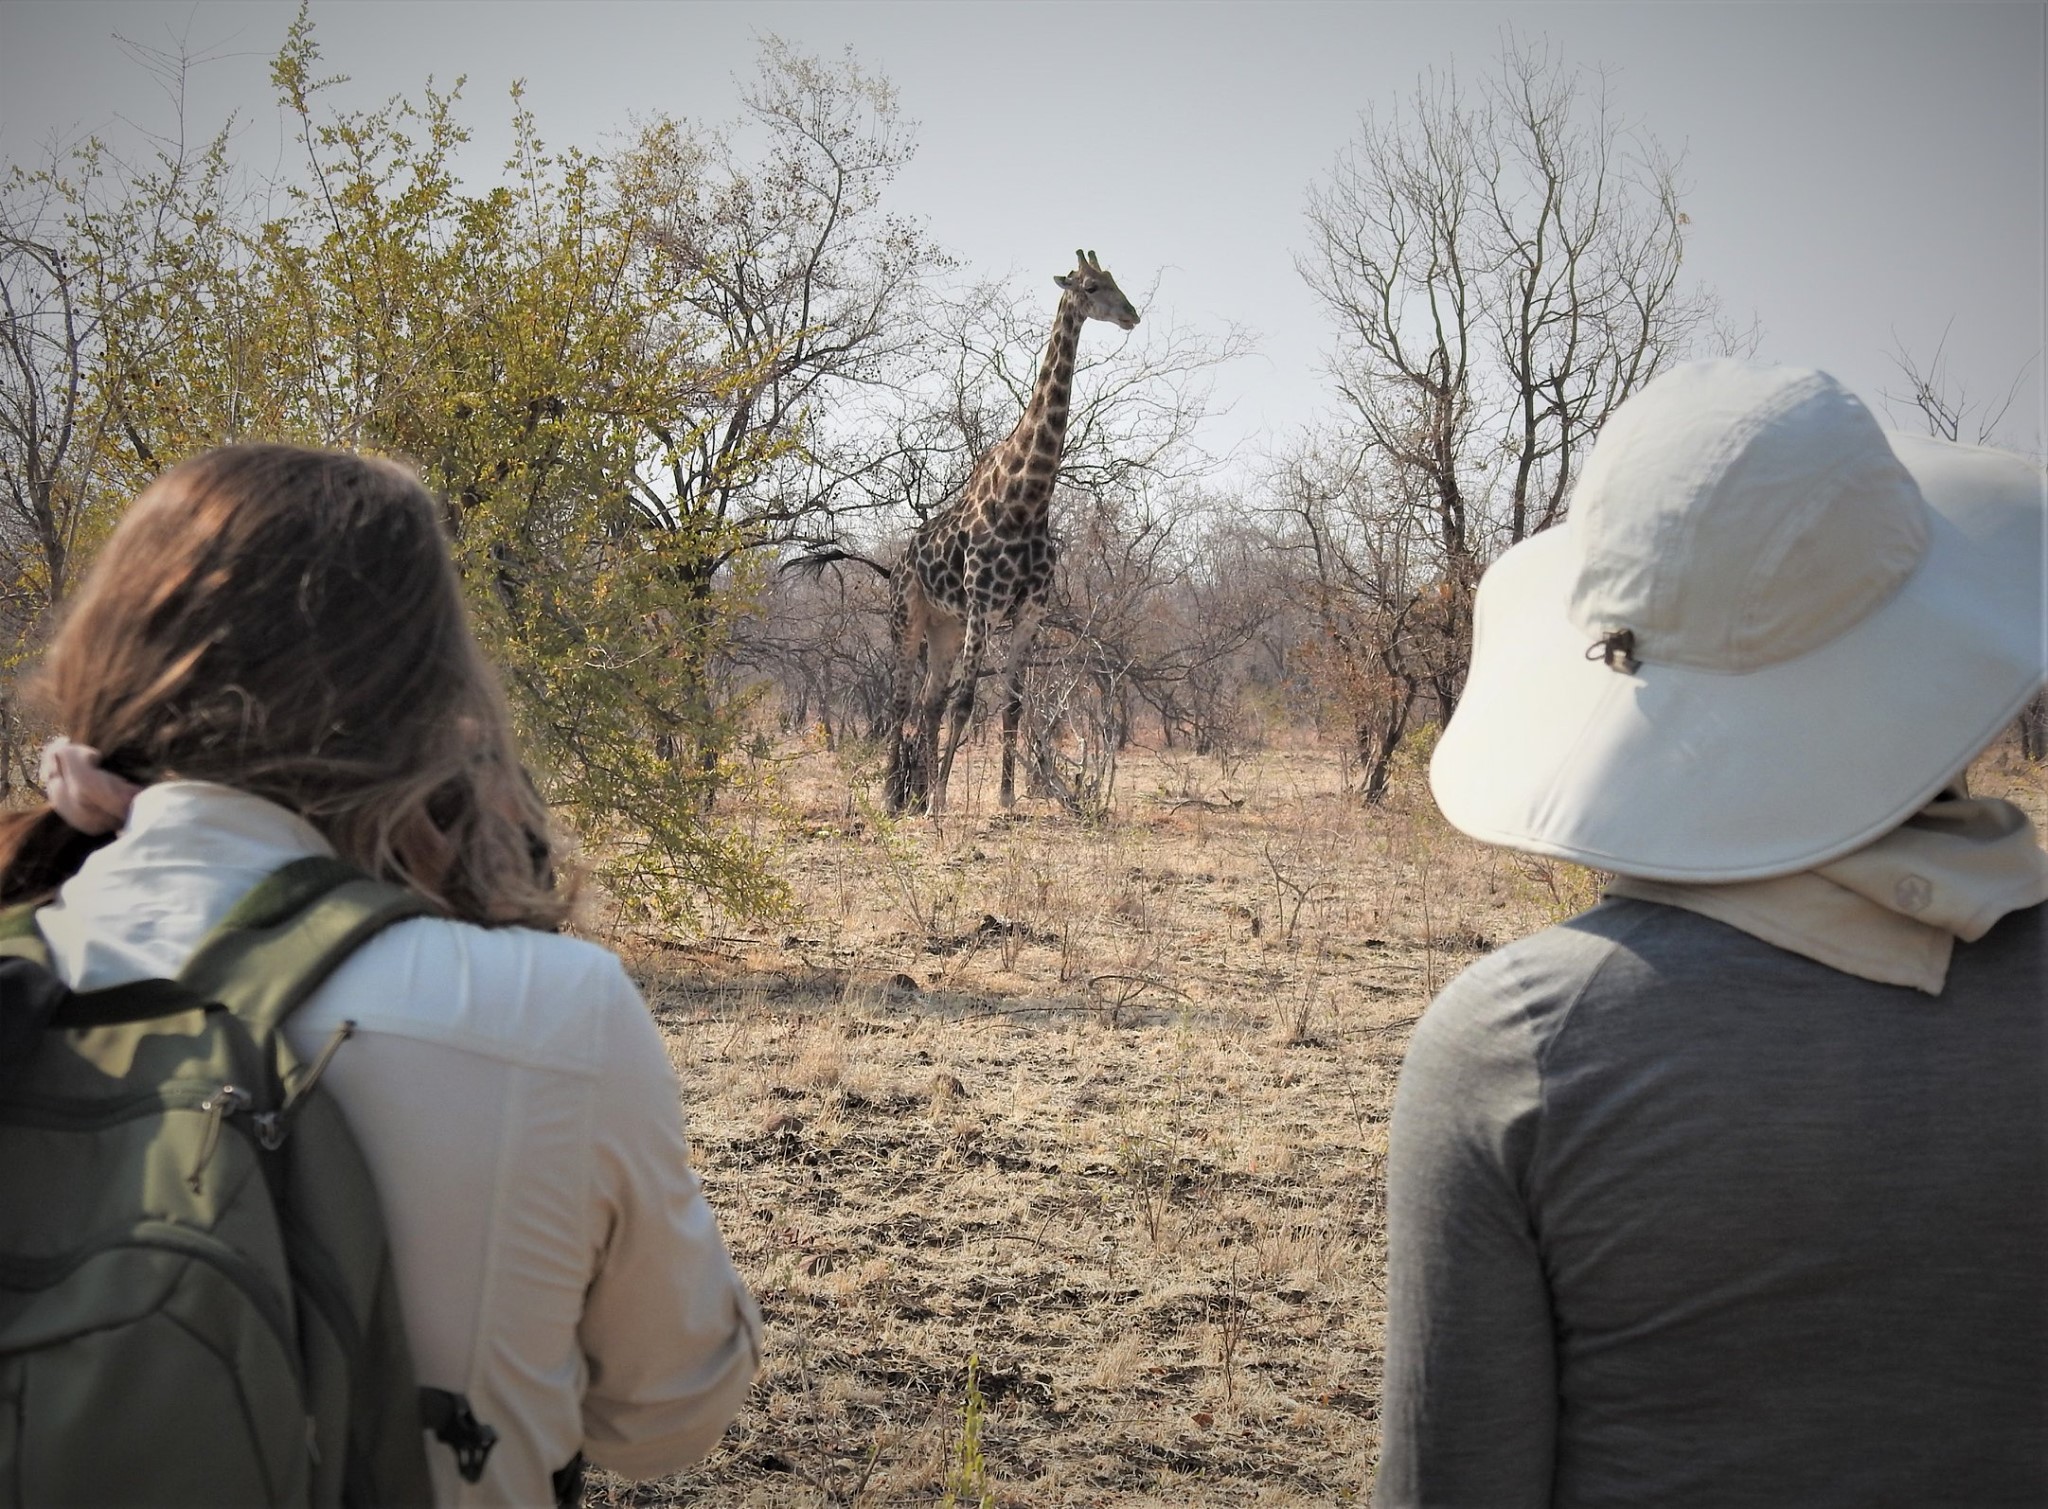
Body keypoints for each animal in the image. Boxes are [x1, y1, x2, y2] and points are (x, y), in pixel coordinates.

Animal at [883, 249, 1141, 816]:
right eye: (1091, 286)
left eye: (1116, 280)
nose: (1132, 315)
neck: (1028, 498)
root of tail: (899, 561)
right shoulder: (984, 603)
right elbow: (966, 702)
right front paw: (939, 800)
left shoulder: (1030, 610)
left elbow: (1014, 703)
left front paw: (1003, 798)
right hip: (908, 618)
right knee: (902, 699)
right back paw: (894, 796)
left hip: (945, 626)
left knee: (929, 702)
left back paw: (919, 794)